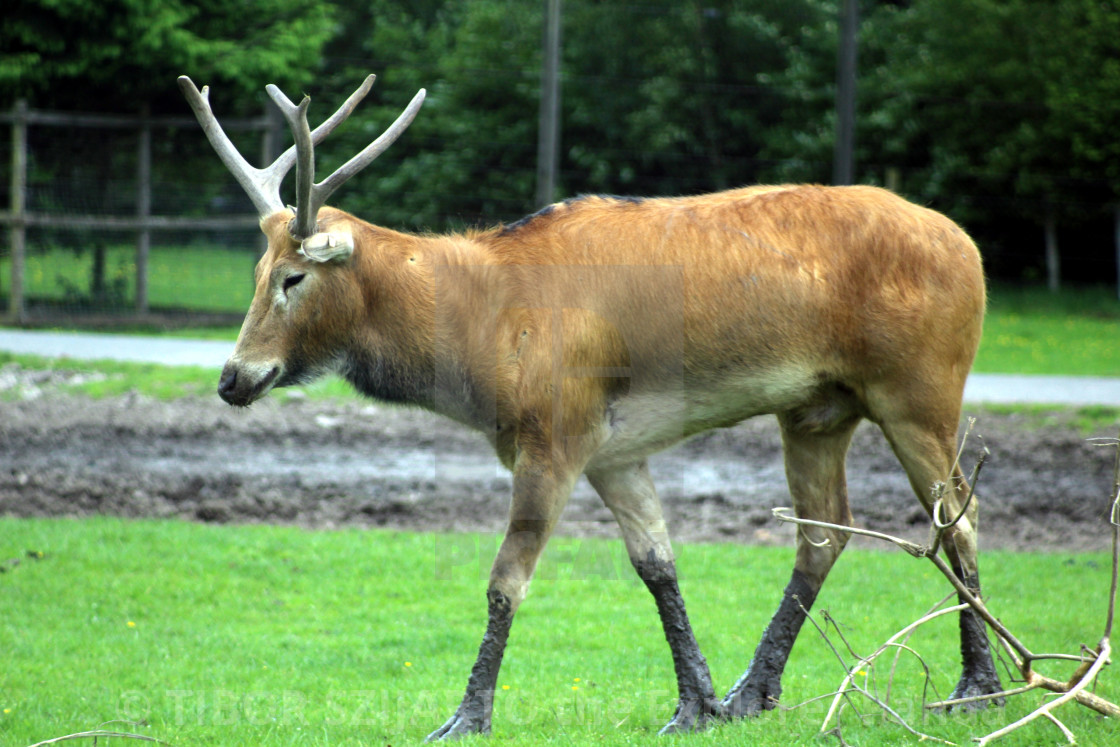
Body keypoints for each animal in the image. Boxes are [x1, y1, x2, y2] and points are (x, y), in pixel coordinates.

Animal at [179, 72, 1003, 739]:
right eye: (257, 270)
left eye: (293, 276)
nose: (234, 377)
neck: (483, 337)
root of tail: (971, 247)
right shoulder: (615, 451)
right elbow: (657, 564)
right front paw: (696, 705)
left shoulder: (555, 433)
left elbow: (505, 580)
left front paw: (466, 716)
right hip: (816, 408)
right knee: (826, 530)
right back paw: (752, 691)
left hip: (919, 387)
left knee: (956, 514)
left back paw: (979, 688)